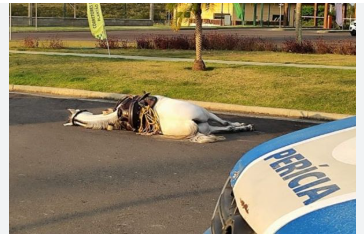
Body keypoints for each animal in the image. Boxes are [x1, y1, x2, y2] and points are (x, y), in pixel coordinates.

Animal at [64, 93, 253, 143]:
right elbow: (226, 122)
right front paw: (243, 124)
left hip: (205, 124)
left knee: (224, 126)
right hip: (204, 114)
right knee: (225, 124)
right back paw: (244, 126)